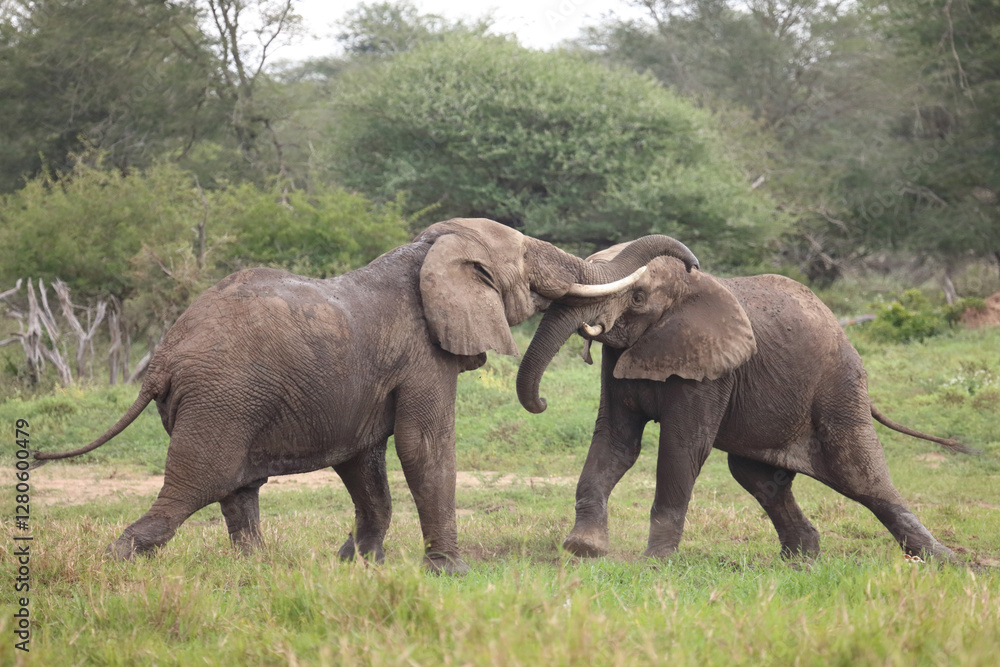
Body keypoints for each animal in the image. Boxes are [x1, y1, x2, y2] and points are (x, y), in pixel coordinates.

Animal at [32, 219, 698, 573]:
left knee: (238, 492)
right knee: (196, 486)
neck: (428, 251)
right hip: (221, 400)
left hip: (225, 403)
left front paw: (358, 564)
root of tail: (160, 360)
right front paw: (450, 571)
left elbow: (364, 461)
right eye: (532, 261)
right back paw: (117, 561)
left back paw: (258, 568)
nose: (690, 266)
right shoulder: (424, 353)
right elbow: (424, 446)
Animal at [516, 241, 973, 562]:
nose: (542, 402)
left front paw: (654, 562)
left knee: (861, 475)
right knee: (760, 479)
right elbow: (615, 442)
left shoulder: (715, 370)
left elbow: (681, 449)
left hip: (839, 388)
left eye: (638, 297)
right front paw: (583, 548)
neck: (688, 288)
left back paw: (946, 561)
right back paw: (802, 560)